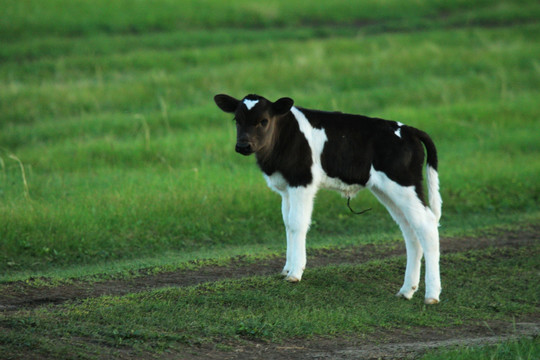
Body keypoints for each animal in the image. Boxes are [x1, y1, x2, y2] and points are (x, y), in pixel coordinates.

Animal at [213, 93, 440, 304]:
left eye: (263, 120)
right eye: (237, 119)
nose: (243, 146)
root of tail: (409, 129)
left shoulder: (302, 182)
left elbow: (297, 223)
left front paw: (295, 272)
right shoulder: (286, 188)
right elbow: (287, 223)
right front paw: (286, 268)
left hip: (404, 185)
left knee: (427, 225)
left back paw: (431, 295)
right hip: (388, 191)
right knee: (410, 230)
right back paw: (407, 290)